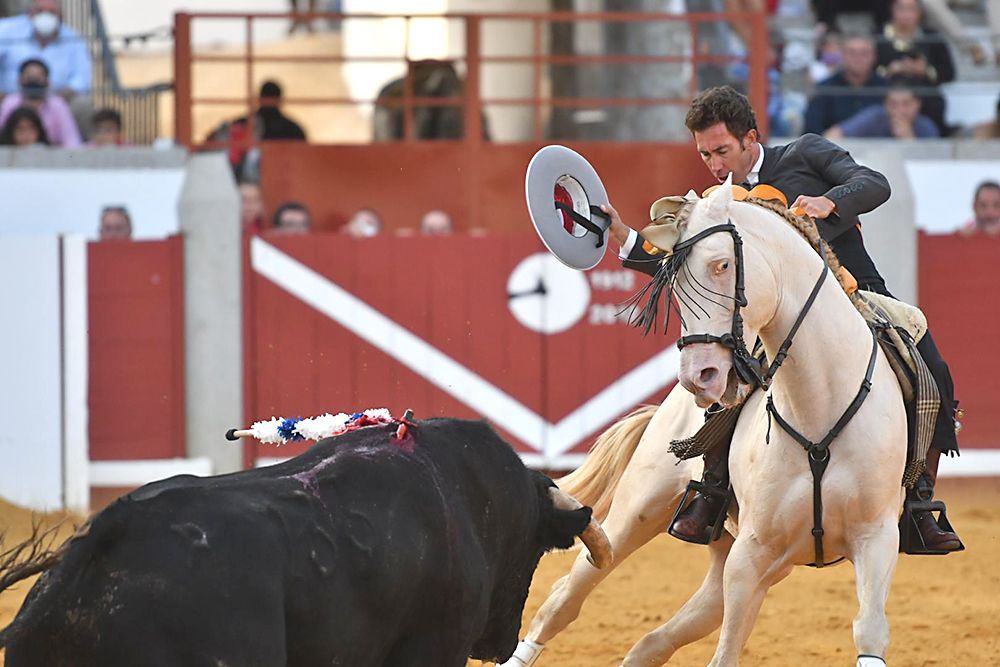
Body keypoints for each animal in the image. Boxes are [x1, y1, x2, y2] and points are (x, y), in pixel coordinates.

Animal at [504, 180, 912, 664]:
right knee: (566, 597)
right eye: (673, 279)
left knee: (653, 640)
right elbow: (726, 653)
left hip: (731, 555)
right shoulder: (752, 553)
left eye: (722, 264)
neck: (819, 411)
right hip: (637, 513)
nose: (699, 376)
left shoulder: (877, 538)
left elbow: (870, 630)